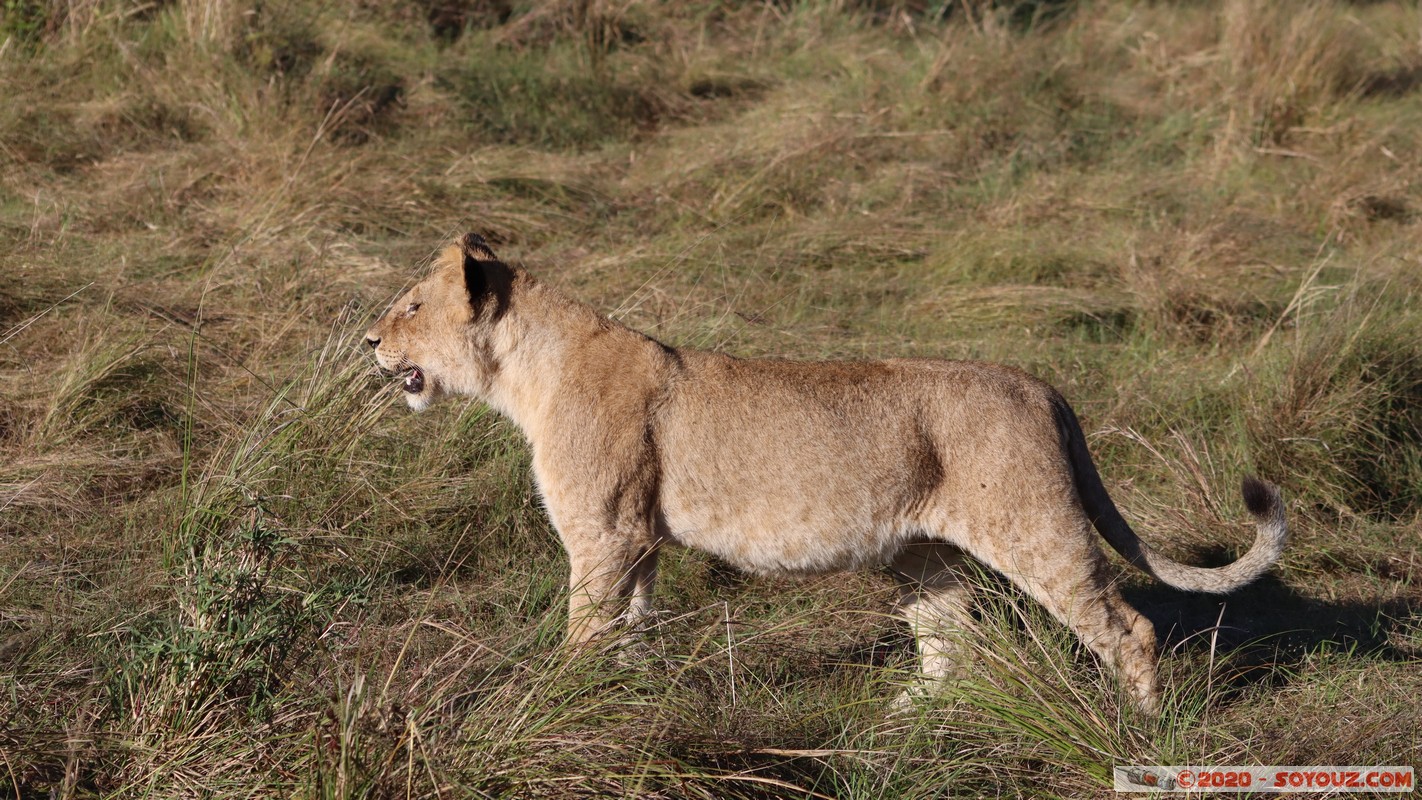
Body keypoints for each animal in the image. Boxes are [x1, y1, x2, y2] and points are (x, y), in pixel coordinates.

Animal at [364, 233, 1291, 713]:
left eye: (410, 304)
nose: (368, 341)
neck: (524, 374)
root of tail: (1043, 386)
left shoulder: (604, 534)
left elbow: (584, 630)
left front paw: (557, 700)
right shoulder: (637, 539)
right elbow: (632, 629)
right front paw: (624, 698)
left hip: (1037, 528)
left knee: (1127, 628)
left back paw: (1139, 733)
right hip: (924, 555)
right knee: (953, 640)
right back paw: (911, 717)